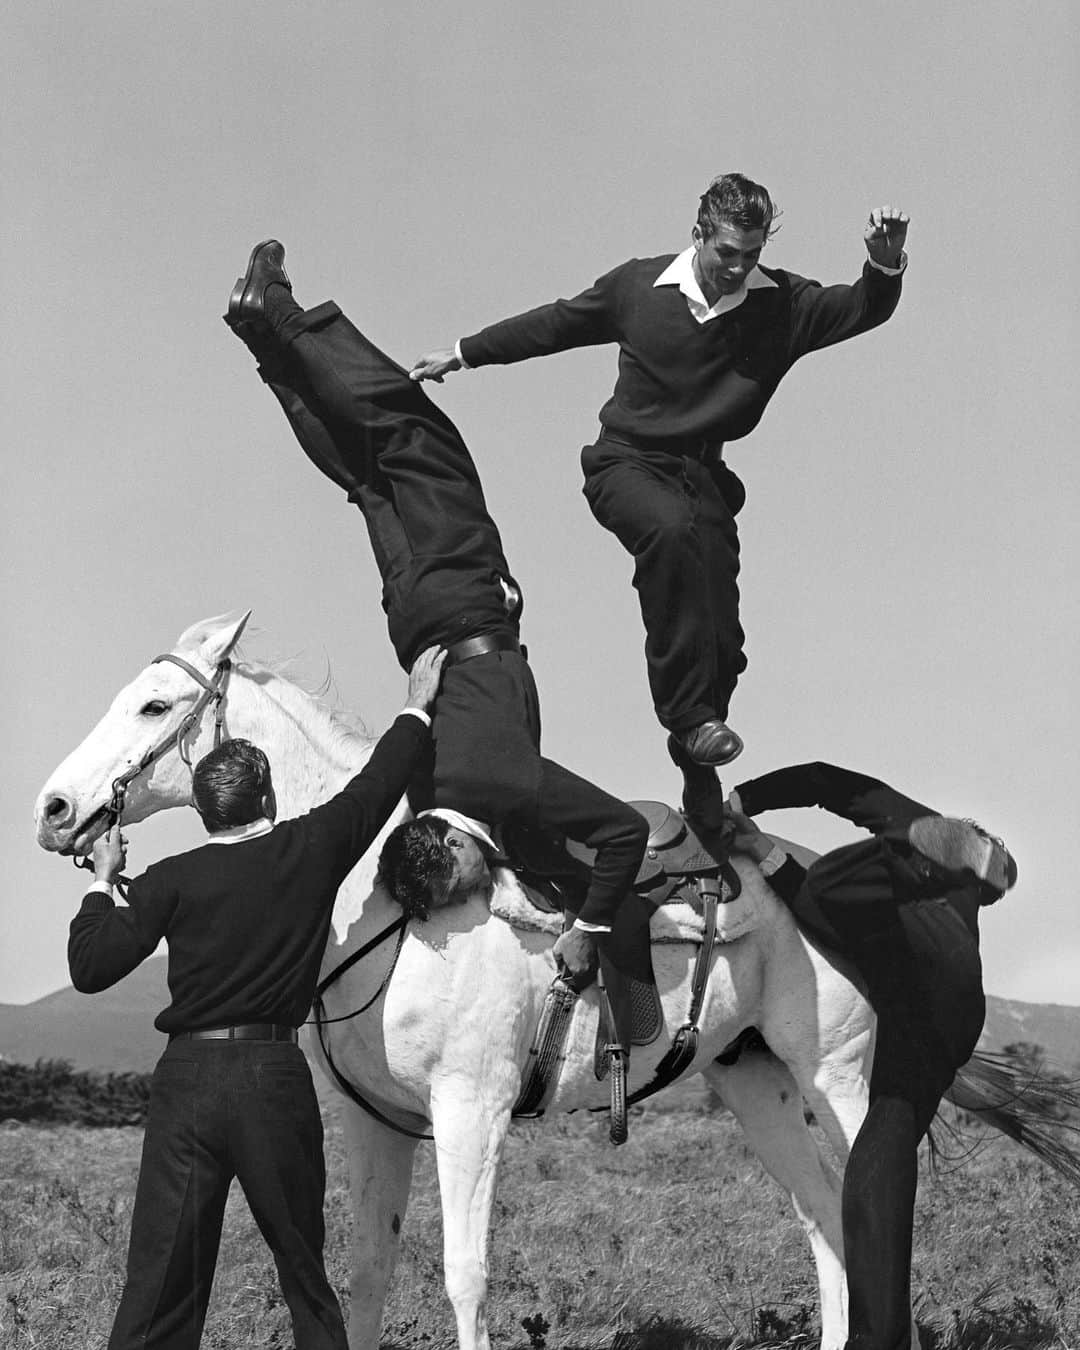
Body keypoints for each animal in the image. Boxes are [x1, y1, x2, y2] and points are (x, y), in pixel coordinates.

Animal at [35, 615, 874, 1350]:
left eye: (154, 704)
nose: (53, 809)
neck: (392, 904)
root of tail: (802, 871)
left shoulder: (472, 1111)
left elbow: (465, 1277)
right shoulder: (373, 1120)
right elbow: (367, 1269)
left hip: (835, 1075)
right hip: (753, 1079)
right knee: (822, 1214)